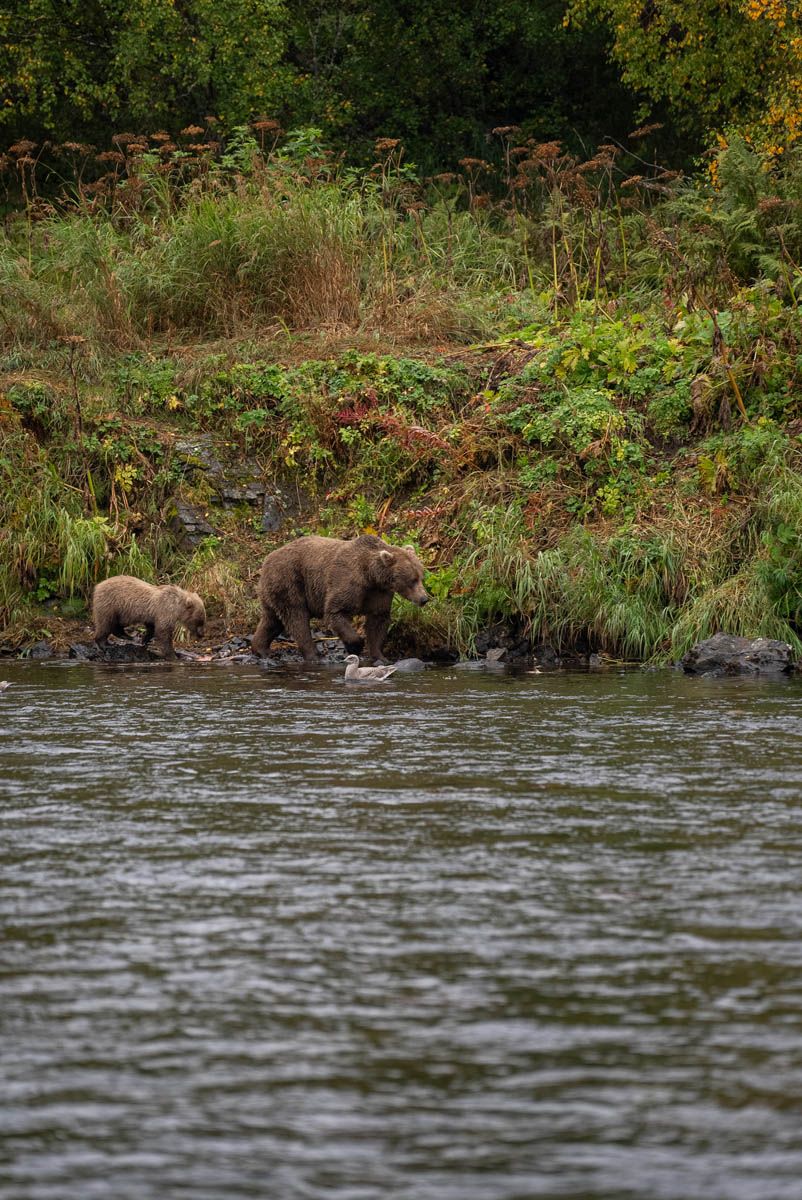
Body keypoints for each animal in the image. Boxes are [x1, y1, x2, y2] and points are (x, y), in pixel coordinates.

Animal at [252, 537, 429, 667]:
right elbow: (336, 611)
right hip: (289, 581)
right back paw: (314, 655)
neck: (370, 575)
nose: (424, 598)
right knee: (297, 618)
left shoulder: (379, 593)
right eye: (412, 580)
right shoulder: (347, 582)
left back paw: (261, 649)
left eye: (421, 576)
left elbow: (378, 621)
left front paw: (380, 656)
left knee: (272, 620)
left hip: (272, 592)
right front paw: (355, 645)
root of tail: (266, 560)